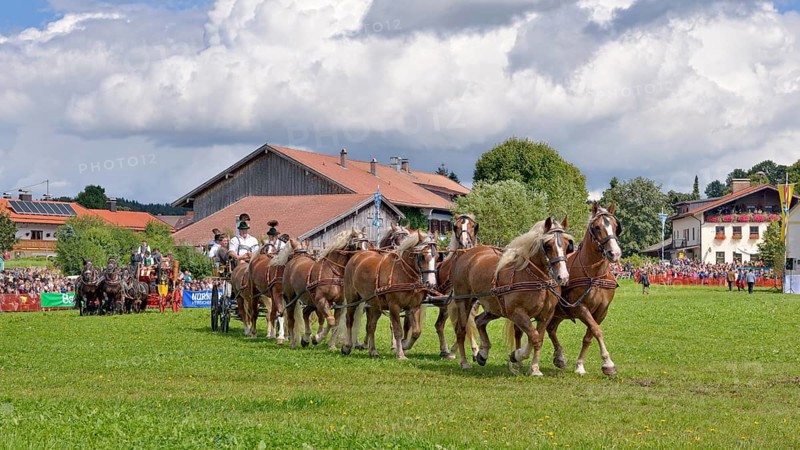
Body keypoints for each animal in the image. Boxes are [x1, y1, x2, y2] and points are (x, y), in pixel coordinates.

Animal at [341, 230, 439, 359]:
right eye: (422, 256)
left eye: (437, 256)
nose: (431, 283)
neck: (404, 274)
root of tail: (356, 256)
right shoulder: (394, 306)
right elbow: (398, 331)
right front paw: (400, 354)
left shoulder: (414, 307)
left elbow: (416, 331)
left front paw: (405, 345)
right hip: (352, 298)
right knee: (349, 320)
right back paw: (347, 346)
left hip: (375, 304)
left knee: (371, 326)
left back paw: (373, 350)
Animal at [448, 217, 572, 375]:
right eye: (548, 245)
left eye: (568, 244)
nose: (563, 276)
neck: (538, 280)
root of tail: (467, 253)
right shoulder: (517, 313)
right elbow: (534, 338)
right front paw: (517, 356)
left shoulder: (545, 316)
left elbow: (537, 339)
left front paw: (534, 368)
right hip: (464, 302)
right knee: (461, 331)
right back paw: (464, 362)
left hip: (495, 307)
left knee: (479, 321)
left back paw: (483, 353)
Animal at [545, 202, 622, 376]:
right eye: (597, 227)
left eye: (615, 226)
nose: (614, 253)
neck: (595, 275)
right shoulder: (580, 307)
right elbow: (597, 330)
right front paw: (608, 363)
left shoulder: (601, 311)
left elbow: (589, 336)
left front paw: (580, 364)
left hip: (558, 312)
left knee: (551, 329)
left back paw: (559, 357)